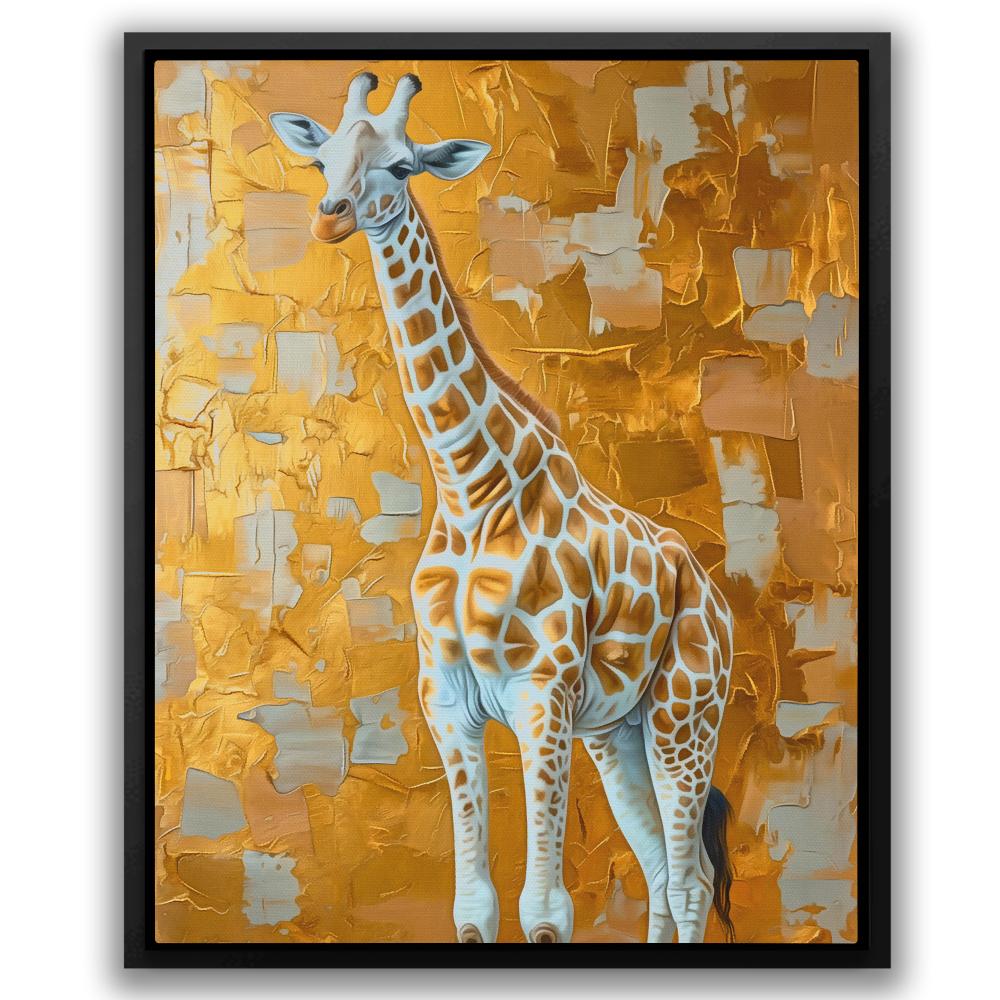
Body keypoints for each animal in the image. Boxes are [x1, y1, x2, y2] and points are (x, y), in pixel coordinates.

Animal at [271, 72, 735, 945]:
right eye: (323, 159)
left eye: (405, 165)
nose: (330, 217)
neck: (469, 488)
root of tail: (719, 602)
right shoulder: (449, 702)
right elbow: (476, 907)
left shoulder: (540, 697)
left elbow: (545, 909)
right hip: (619, 733)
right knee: (664, 877)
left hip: (686, 714)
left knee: (691, 882)